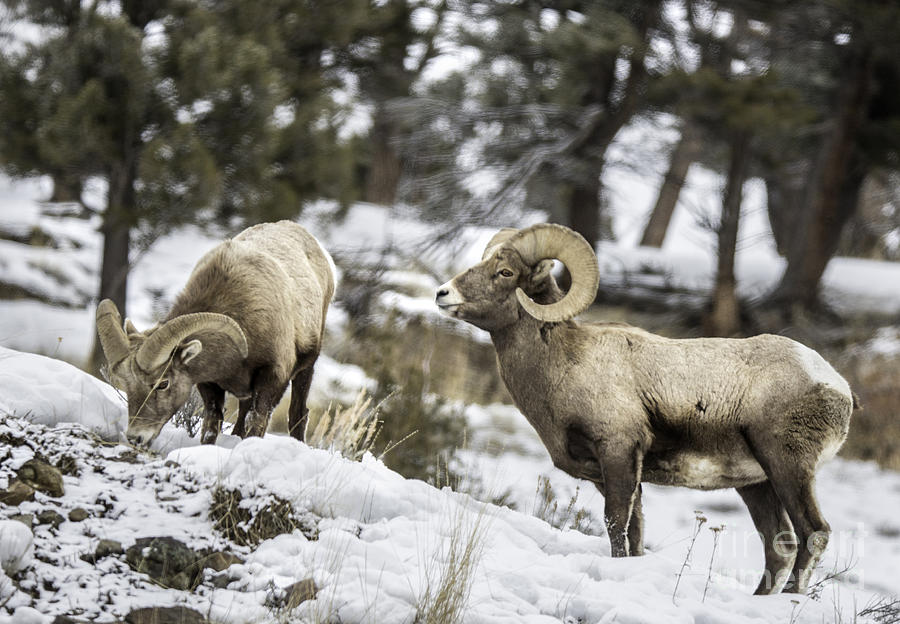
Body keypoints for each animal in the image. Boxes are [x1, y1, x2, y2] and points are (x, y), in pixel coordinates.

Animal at [98, 222, 336, 446]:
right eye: (126, 384)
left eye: (163, 383)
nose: (136, 437)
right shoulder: (209, 383)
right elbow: (213, 422)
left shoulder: (272, 377)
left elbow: (255, 421)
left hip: (306, 368)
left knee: (298, 414)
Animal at [440, 224, 856, 596]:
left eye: (506, 272)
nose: (443, 294)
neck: (564, 363)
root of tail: (839, 388)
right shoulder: (615, 472)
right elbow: (635, 531)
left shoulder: (618, 452)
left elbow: (616, 524)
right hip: (756, 484)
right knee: (779, 546)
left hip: (787, 469)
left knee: (813, 534)